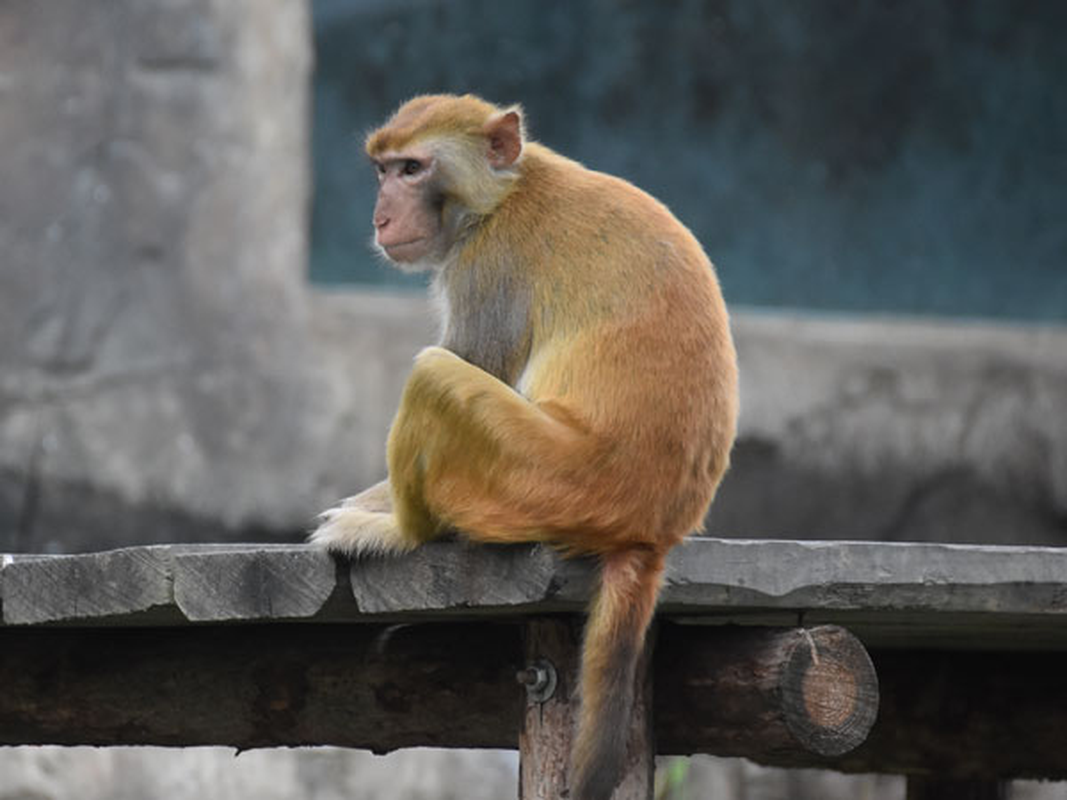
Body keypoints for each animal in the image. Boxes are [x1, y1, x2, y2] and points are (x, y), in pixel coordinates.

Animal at [311, 95, 738, 800]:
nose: (381, 215)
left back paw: (401, 531)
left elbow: (471, 360)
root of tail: (651, 529)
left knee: (434, 374)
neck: (502, 193)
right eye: (383, 170)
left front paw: (374, 508)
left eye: (412, 168)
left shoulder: (488, 265)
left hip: (535, 479)